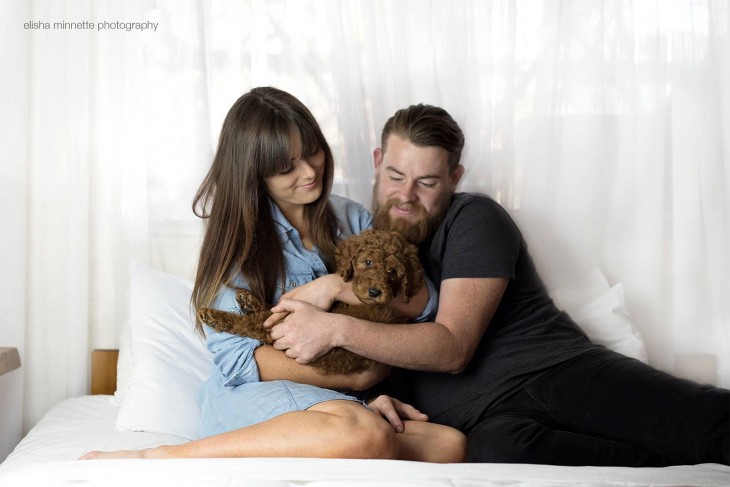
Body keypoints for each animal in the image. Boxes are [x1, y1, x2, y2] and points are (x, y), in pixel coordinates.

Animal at [196, 231, 424, 376]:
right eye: (368, 262)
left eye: (392, 272)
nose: (375, 292)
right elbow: (272, 308)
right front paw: (248, 300)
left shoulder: (280, 329)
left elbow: (253, 323)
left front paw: (213, 316)